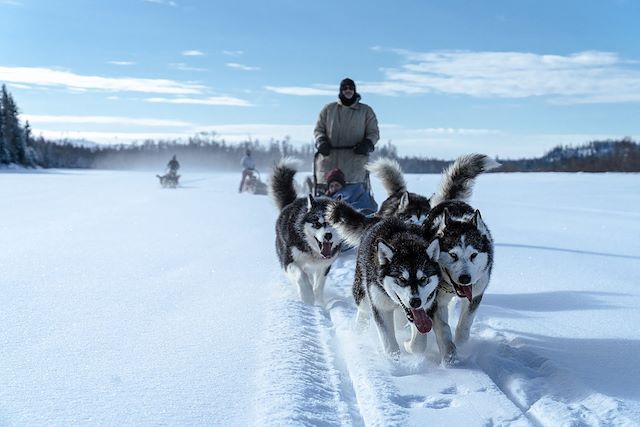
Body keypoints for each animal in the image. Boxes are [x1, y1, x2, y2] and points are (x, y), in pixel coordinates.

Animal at [268, 159, 342, 306]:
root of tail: (290, 204)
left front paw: (319, 302)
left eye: (332, 224)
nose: (328, 235)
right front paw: (307, 296)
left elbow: (318, 285)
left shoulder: (325, 265)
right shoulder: (289, 261)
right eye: (317, 223)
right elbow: (301, 276)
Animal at [328, 202, 442, 356]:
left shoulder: (426, 306)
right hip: (363, 293)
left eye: (423, 279)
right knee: (363, 310)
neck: (405, 243)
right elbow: (390, 345)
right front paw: (394, 359)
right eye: (402, 279)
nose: (415, 302)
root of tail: (379, 219)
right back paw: (359, 331)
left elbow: (419, 344)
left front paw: (408, 345)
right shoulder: (380, 306)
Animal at [424, 154, 500, 364]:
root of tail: (451, 201)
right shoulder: (435, 300)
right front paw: (449, 354)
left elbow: (465, 322)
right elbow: (442, 327)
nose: (465, 278)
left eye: (473, 255)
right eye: (453, 255)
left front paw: (461, 342)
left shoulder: (476, 292)